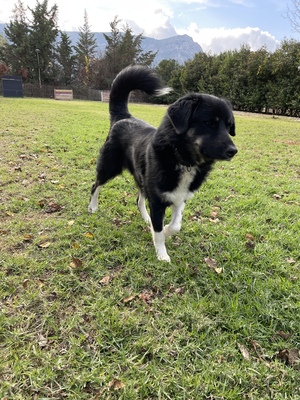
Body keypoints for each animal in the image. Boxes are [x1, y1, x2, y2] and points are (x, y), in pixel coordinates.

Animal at [88, 65, 238, 262]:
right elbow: (159, 231)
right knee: (96, 185)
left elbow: (175, 226)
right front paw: (161, 253)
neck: (181, 159)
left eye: (229, 126)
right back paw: (92, 207)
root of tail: (123, 117)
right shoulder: (158, 202)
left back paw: (146, 219)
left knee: (139, 199)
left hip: (142, 177)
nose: (233, 151)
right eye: (210, 123)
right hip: (109, 167)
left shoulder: (180, 198)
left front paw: (163, 230)